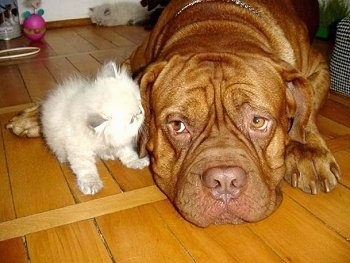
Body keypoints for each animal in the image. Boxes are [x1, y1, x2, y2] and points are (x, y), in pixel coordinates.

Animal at [41, 61, 149, 194]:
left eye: (139, 103)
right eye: (132, 120)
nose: (141, 112)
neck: (99, 139)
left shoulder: (119, 142)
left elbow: (128, 153)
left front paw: (136, 161)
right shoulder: (79, 149)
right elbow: (86, 168)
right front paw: (91, 184)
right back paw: (63, 158)